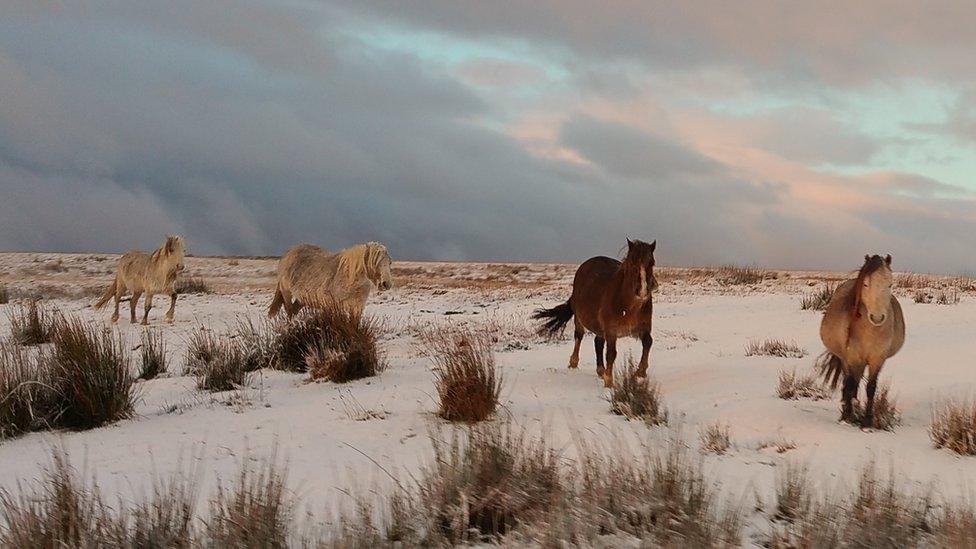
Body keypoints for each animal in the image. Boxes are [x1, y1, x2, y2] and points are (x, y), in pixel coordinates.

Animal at [528, 238, 660, 388]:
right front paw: (609, 381)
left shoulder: (643, 328)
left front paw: (640, 372)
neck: (629, 307)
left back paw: (600, 370)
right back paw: (574, 362)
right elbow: (611, 353)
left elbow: (648, 342)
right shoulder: (611, 331)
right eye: (632, 262)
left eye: (651, 263)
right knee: (579, 337)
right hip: (580, 319)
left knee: (598, 342)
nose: (642, 291)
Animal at [816, 253, 908, 428]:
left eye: (890, 284)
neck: (869, 332)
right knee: (849, 383)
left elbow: (871, 387)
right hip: (847, 360)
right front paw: (847, 417)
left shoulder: (877, 359)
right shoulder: (851, 357)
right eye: (865, 284)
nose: (877, 318)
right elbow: (850, 384)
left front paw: (867, 422)